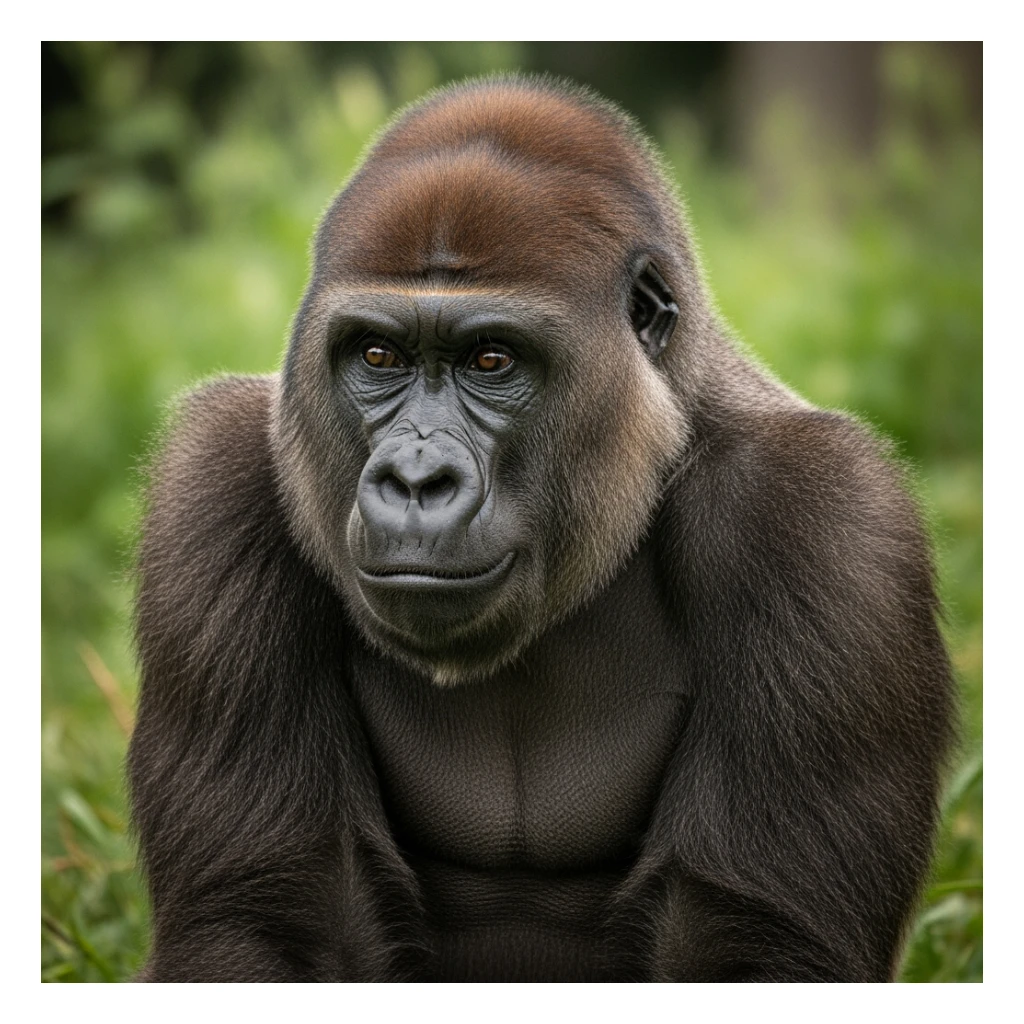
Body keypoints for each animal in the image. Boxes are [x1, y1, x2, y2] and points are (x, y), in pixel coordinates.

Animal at [127, 74, 956, 982]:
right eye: (377, 356)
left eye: (492, 360)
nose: (416, 482)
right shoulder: (219, 481)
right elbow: (267, 920)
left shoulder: (822, 520)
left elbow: (756, 938)